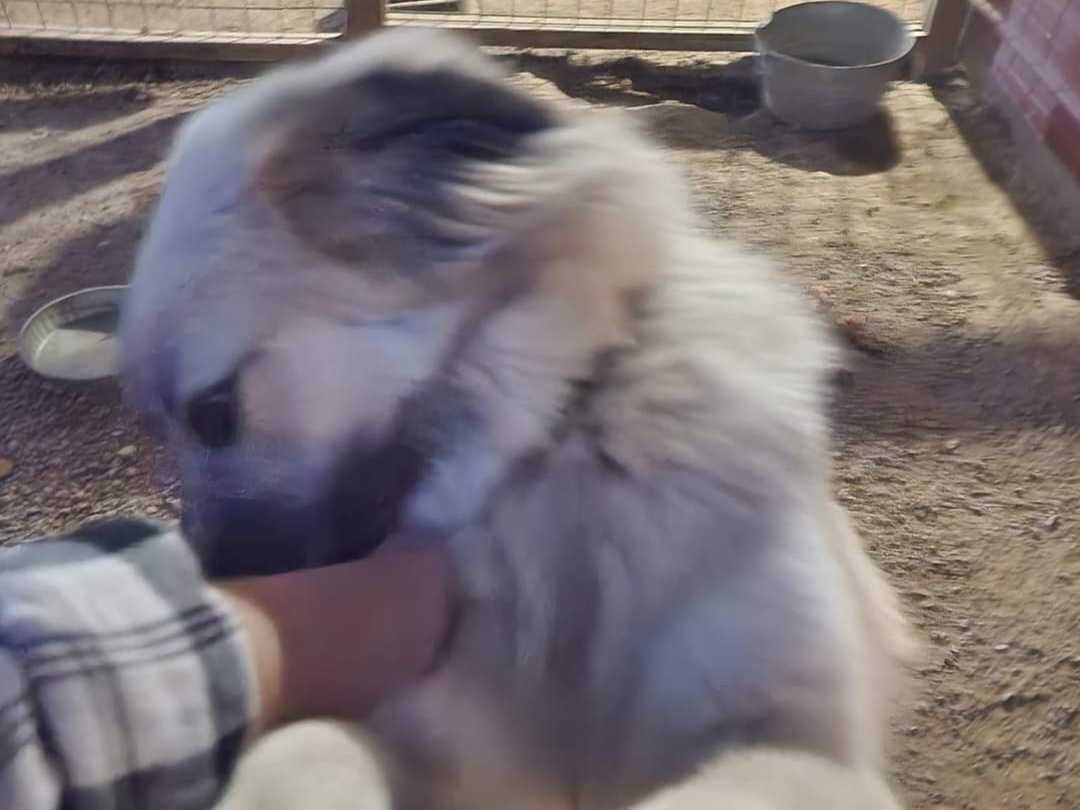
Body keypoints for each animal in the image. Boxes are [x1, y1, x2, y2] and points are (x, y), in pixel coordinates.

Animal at [116, 28, 911, 807]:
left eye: (214, 412)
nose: (205, 592)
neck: (566, 438)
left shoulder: (798, 741)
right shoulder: (438, 737)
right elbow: (306, 749)